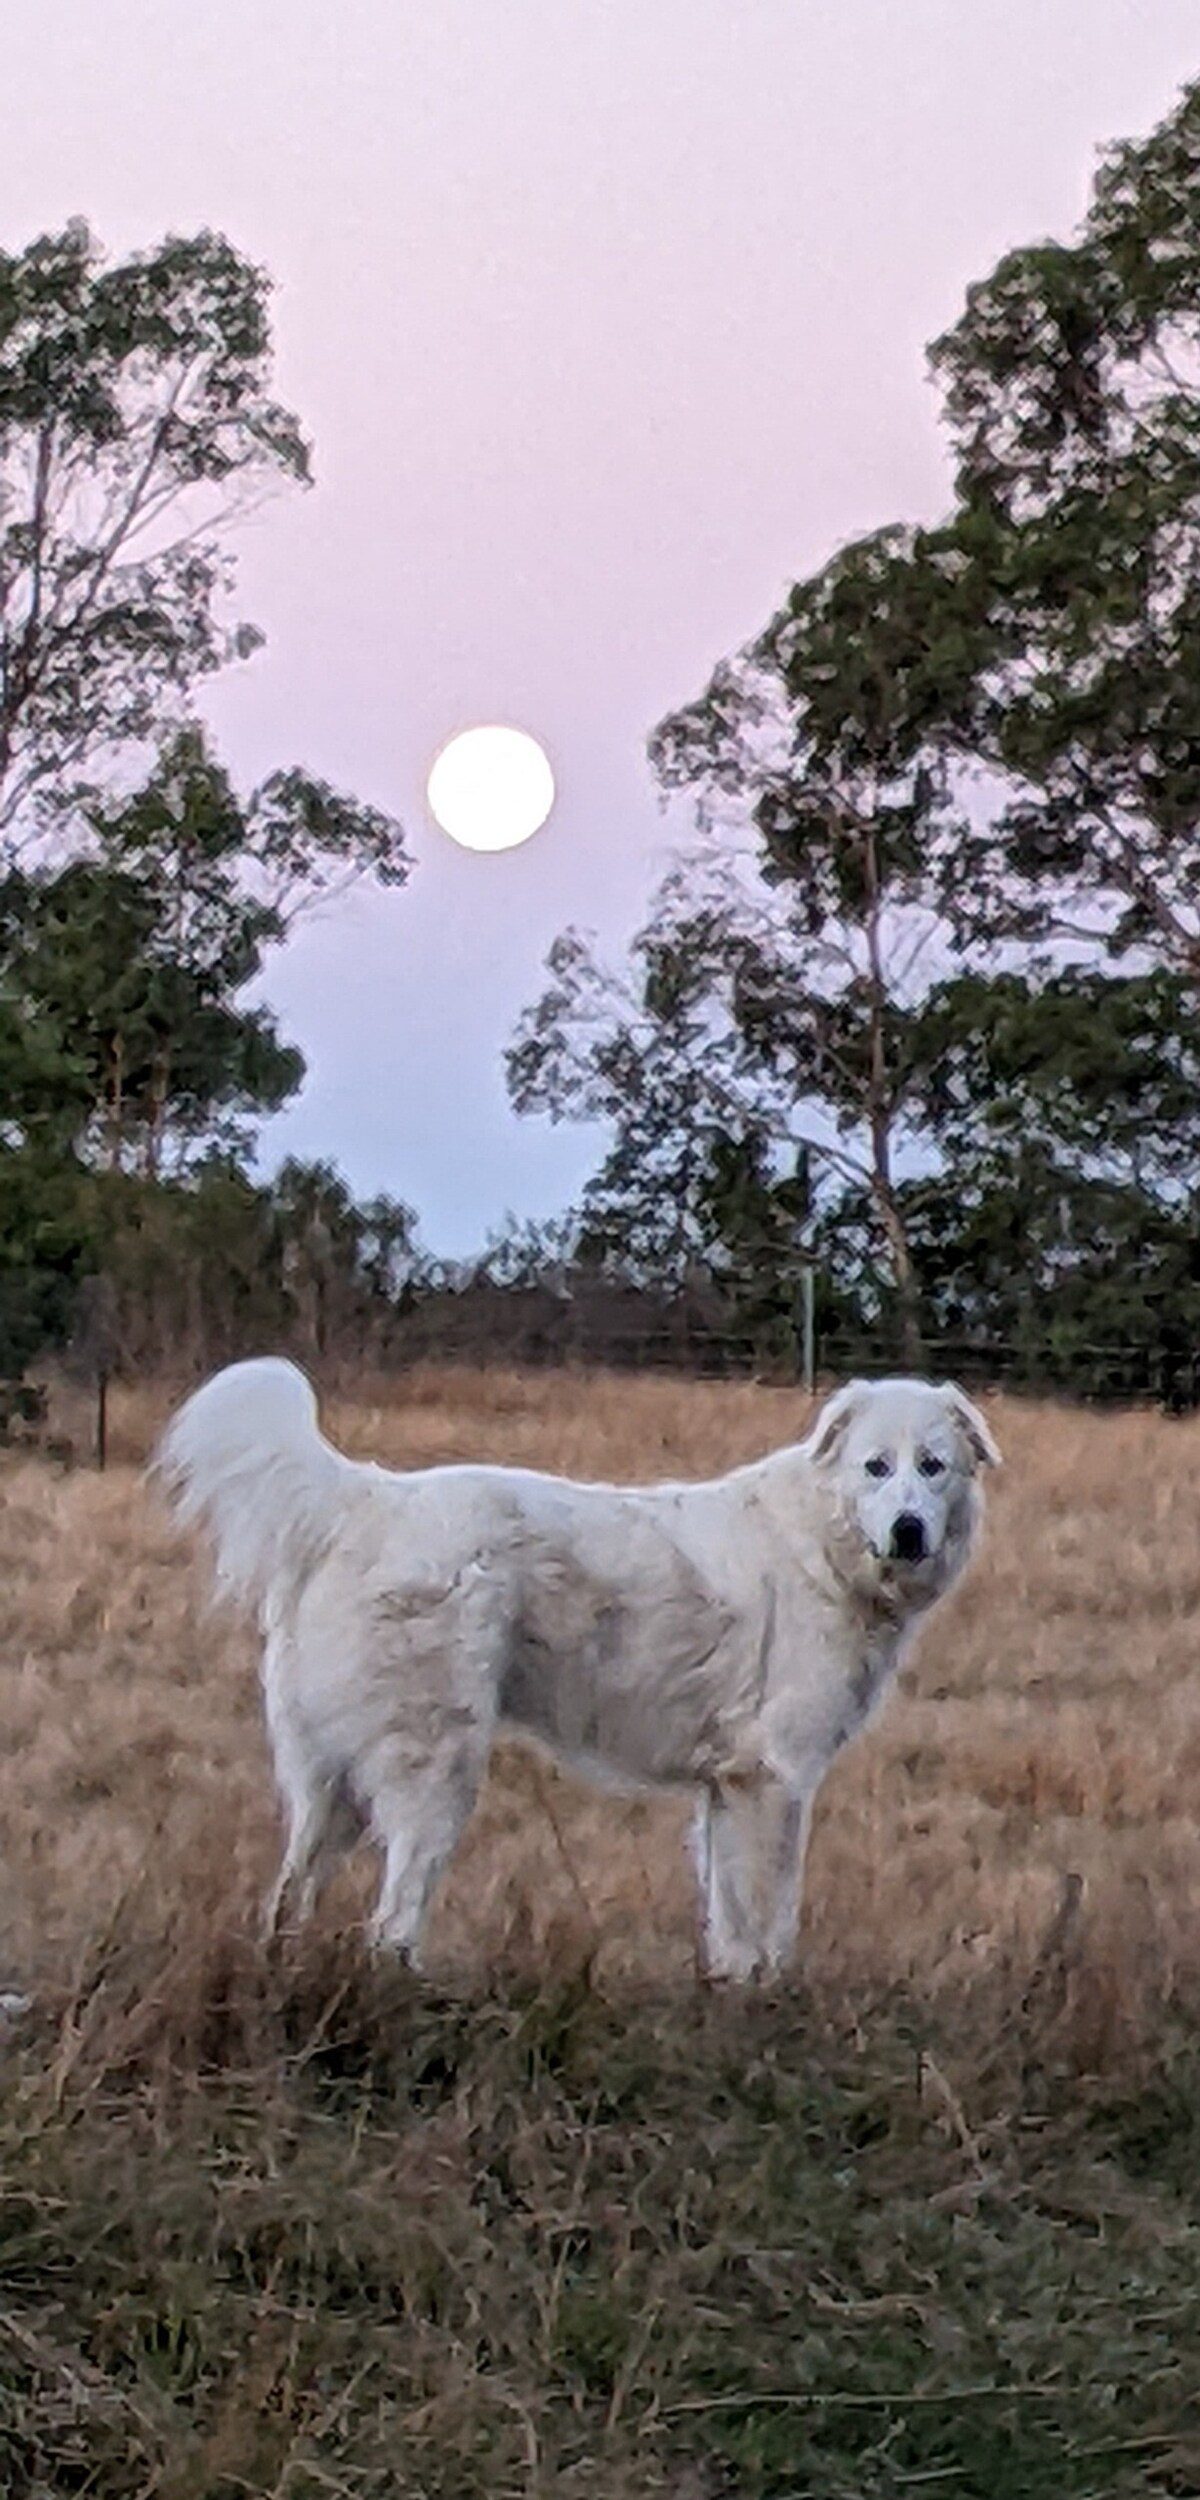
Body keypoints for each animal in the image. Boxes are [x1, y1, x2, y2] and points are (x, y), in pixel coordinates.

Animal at [159, 1370, 1005, 1970]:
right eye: (876, 1468)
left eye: (933, 1467)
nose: (908, 1529)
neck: (823, 1549)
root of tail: (363, 1497)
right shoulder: (774, 1781)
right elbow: (771, 1924)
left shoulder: (729, 1790)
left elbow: (731, 1926)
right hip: (435, 1773)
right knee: (392, 1920)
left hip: (330, 1787)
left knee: (288, 1900)